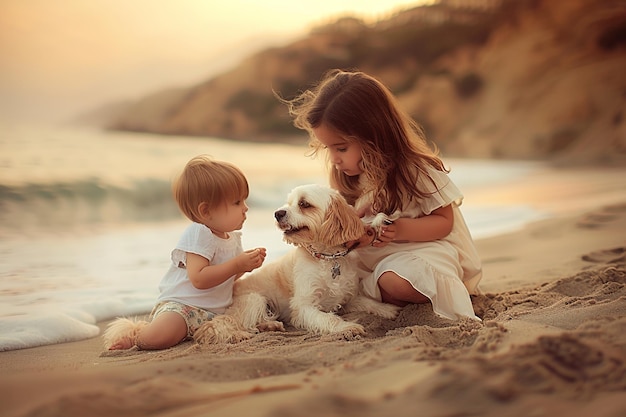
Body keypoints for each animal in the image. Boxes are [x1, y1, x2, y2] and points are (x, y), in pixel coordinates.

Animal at [195, 184, 400, 342]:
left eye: (304, 204)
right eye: (289, 203)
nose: (277, 213)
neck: (327, 258)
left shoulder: (347, 299)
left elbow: (369, 303)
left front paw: (388, 309)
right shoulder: (304, 306)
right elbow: (328, 319)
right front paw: (347, 327)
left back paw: (270, 325)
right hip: (254, 299)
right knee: (232, 322)